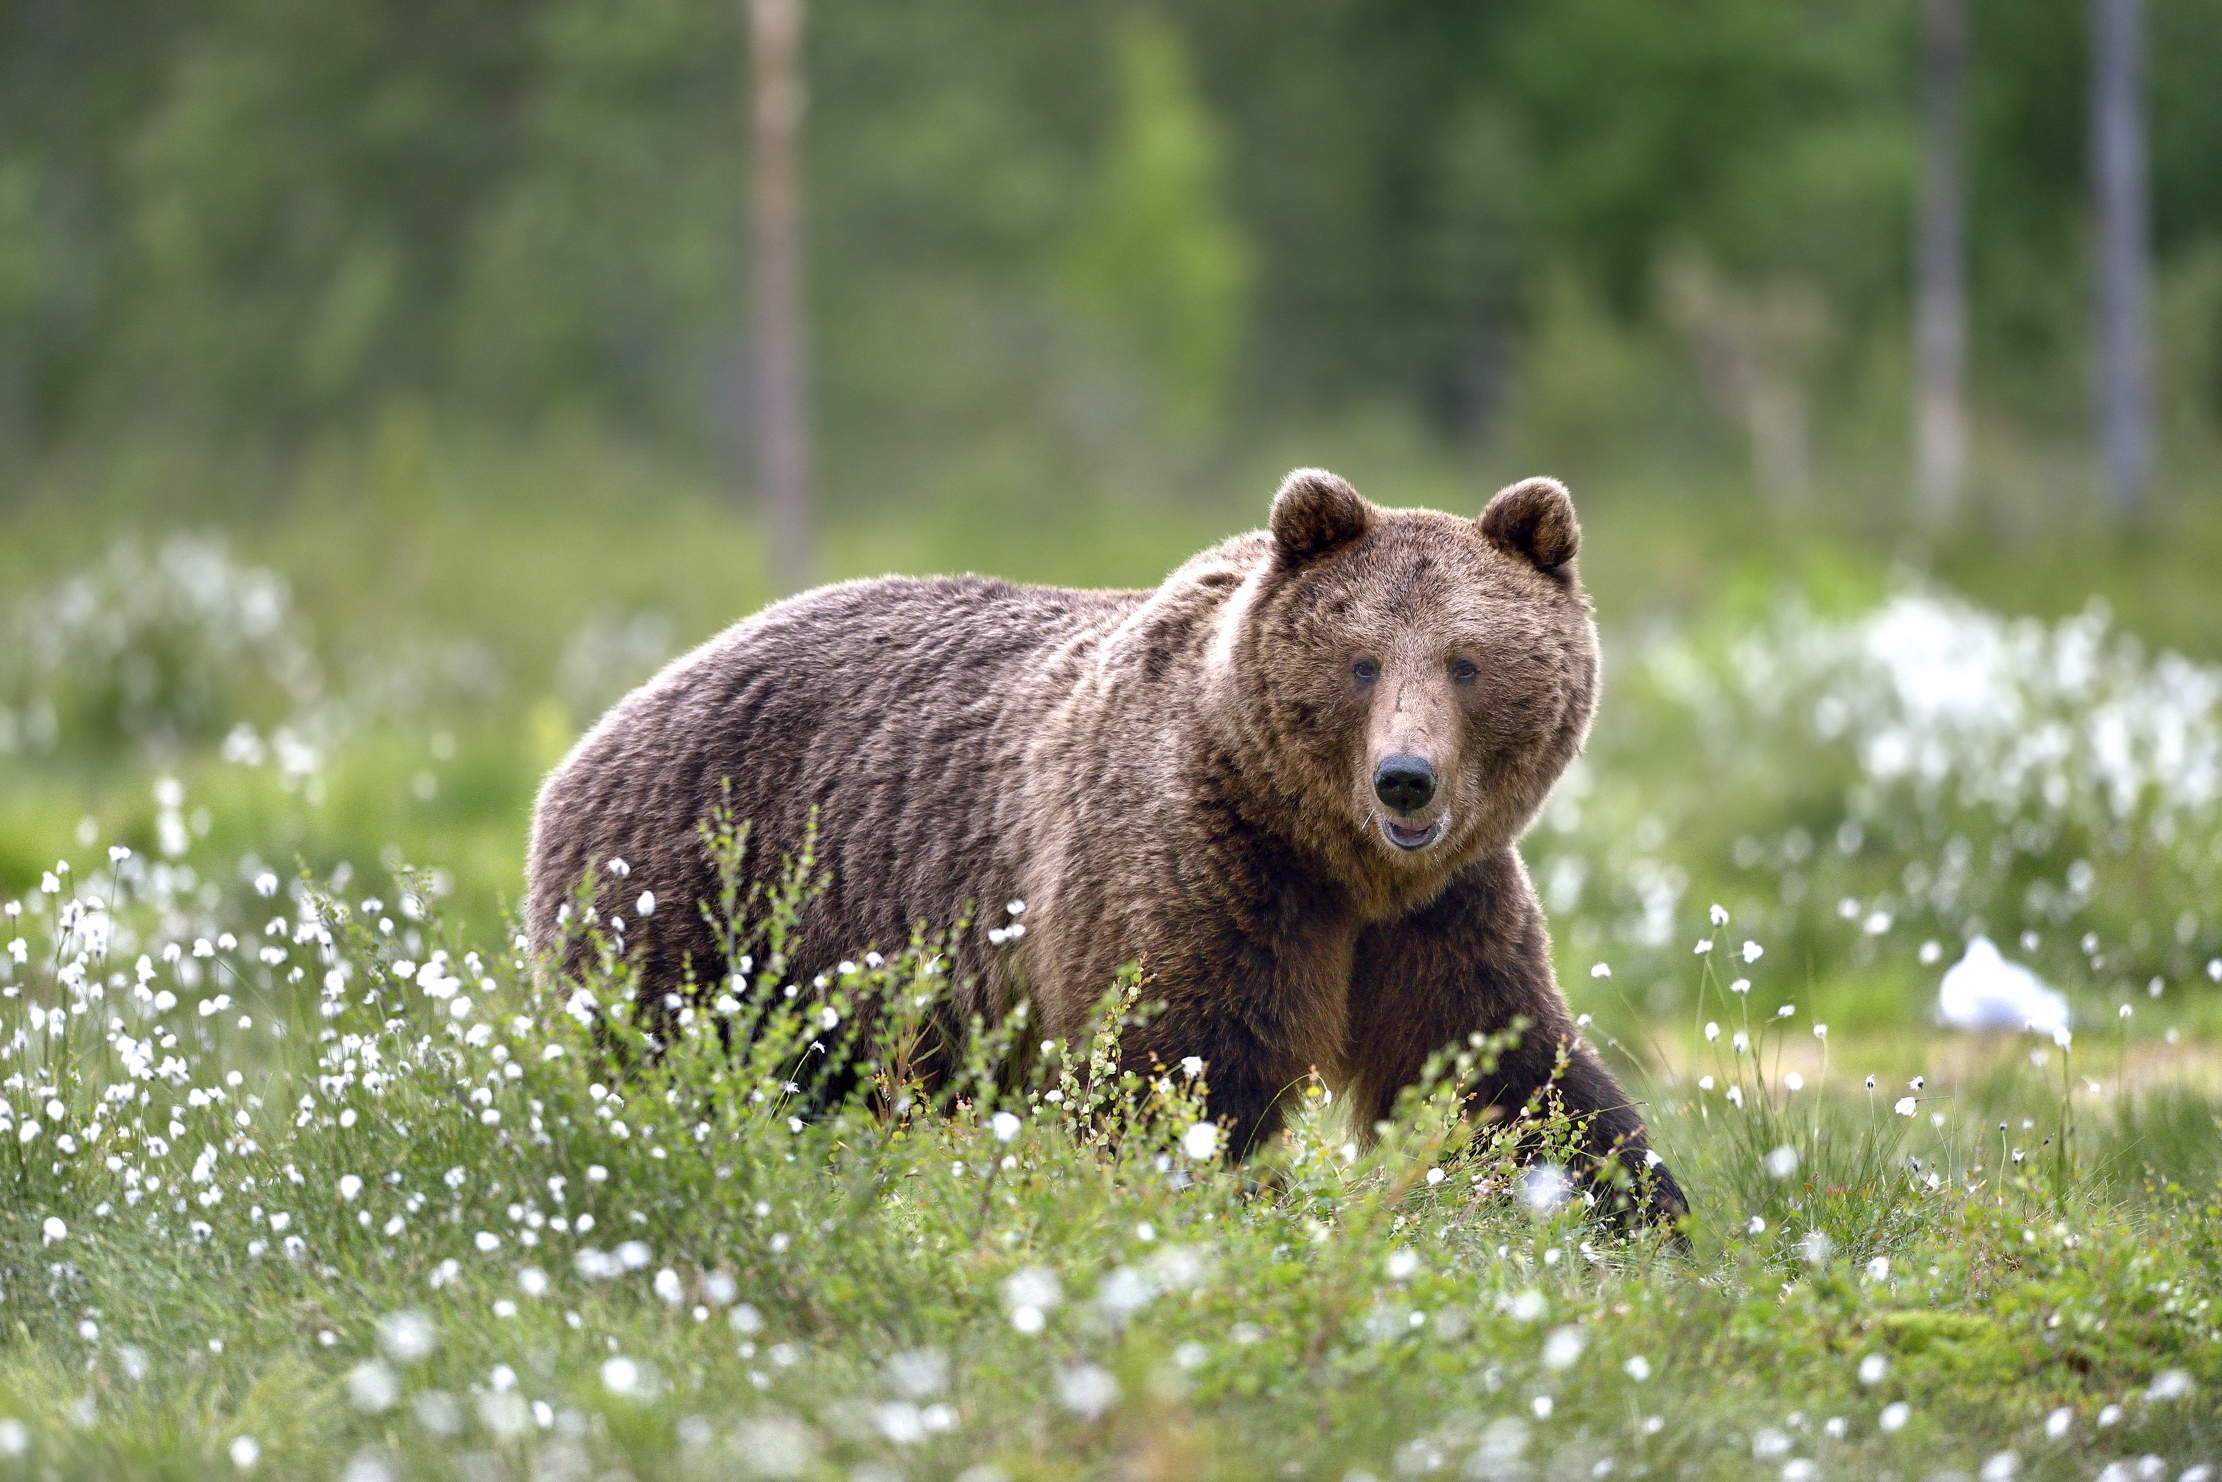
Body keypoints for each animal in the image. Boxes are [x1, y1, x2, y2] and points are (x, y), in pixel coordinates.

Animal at [525, 469, 1685, 1222]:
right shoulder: (1200, 865)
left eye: (1465, 661)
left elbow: (1508, 1063)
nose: (1405, 778)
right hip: (704, 902)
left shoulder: (1441, 912)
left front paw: (1638, 1208)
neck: (1335, 857)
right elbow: (1177, 1066)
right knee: (660, 1055)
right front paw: (1215, 1201)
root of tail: (590, 739)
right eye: (1360, 662)